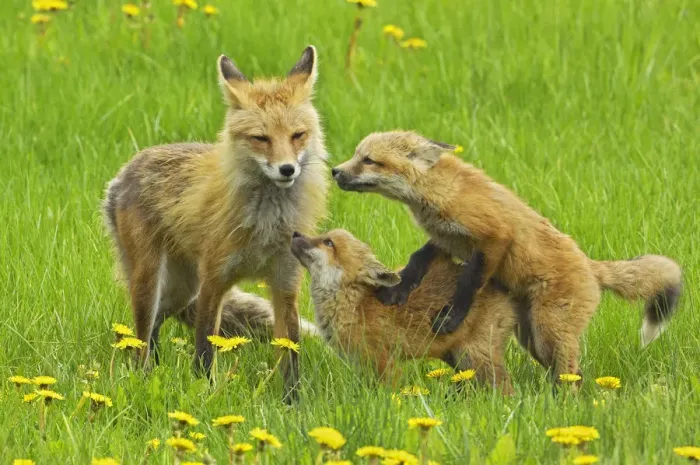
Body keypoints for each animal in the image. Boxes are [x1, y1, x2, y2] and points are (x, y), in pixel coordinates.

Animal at [102, 46, 329, 401]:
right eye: (261, 138)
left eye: (297, 136)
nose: (287, 169)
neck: (265, 224)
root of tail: (124, 171)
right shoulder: (214, 278)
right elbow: (204, 348)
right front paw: (205, 393)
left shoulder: (285, 282)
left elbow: (290, 352)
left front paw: (293, 404)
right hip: (151, 281)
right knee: (141, 339)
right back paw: (144, 376)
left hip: (182, 289)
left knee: (155, 328)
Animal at [290, 229, 517, 393]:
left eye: (328, 243)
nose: (295, 233)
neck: (354, 306)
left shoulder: (385, 362)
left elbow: (388, 394)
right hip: (457, 359)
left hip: (474, 356)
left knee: (506, 389)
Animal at [332, 130, 682, 383]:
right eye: (357, 155)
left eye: (369, 160)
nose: (334, 171)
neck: (439, 192)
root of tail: (591, 266)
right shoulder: (448, 237)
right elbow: (418, 259)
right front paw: (399, 290)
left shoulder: (494, 237)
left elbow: (470, 284)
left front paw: (452, 317)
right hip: (532, 338)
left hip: (548, 332)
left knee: (572, 372)